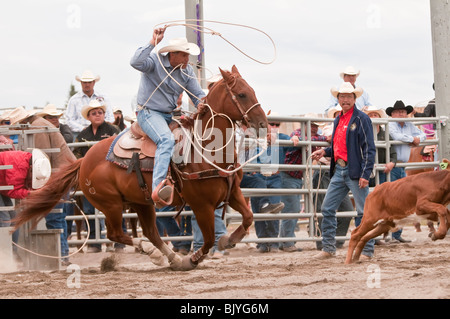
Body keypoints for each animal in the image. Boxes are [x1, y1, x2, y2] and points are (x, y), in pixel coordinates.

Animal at [13, 66, 268, 272]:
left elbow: (247, 218)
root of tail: (84, 160)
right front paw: (192, 259)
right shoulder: (201, 205)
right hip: (111, 204)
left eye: (253, 90)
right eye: (242, 94)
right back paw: (156, 254)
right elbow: (207, 240)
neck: (205, 151)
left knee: (151, 232)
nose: (263, 123)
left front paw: (229, 240)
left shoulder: (233, 192)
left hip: (141, 202)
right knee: (117, 234)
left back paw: (171, 259)